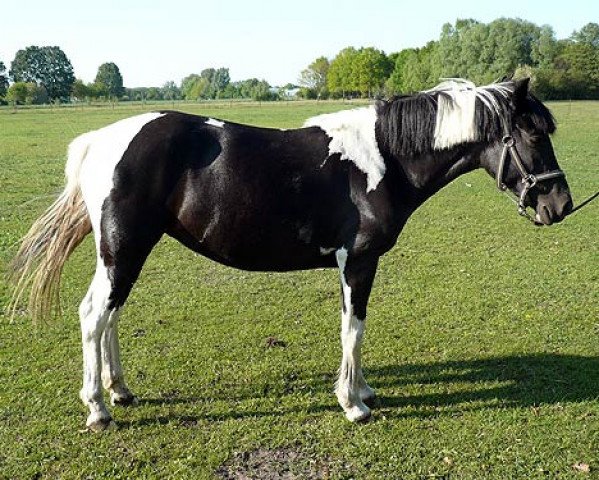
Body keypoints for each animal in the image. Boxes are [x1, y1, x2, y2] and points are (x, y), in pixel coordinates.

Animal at [9, 78, 572, 432]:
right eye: (531, 133)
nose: (560, 204)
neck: (383, 159)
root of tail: (100, 140)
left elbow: (353, 328)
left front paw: (362, 391)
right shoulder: (358, 261)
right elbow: (353, 328)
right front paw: (353, 404)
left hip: (125, 251)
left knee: (110, 315)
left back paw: (120, 389)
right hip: (123, 249)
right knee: (93, 315)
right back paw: (99, 409)